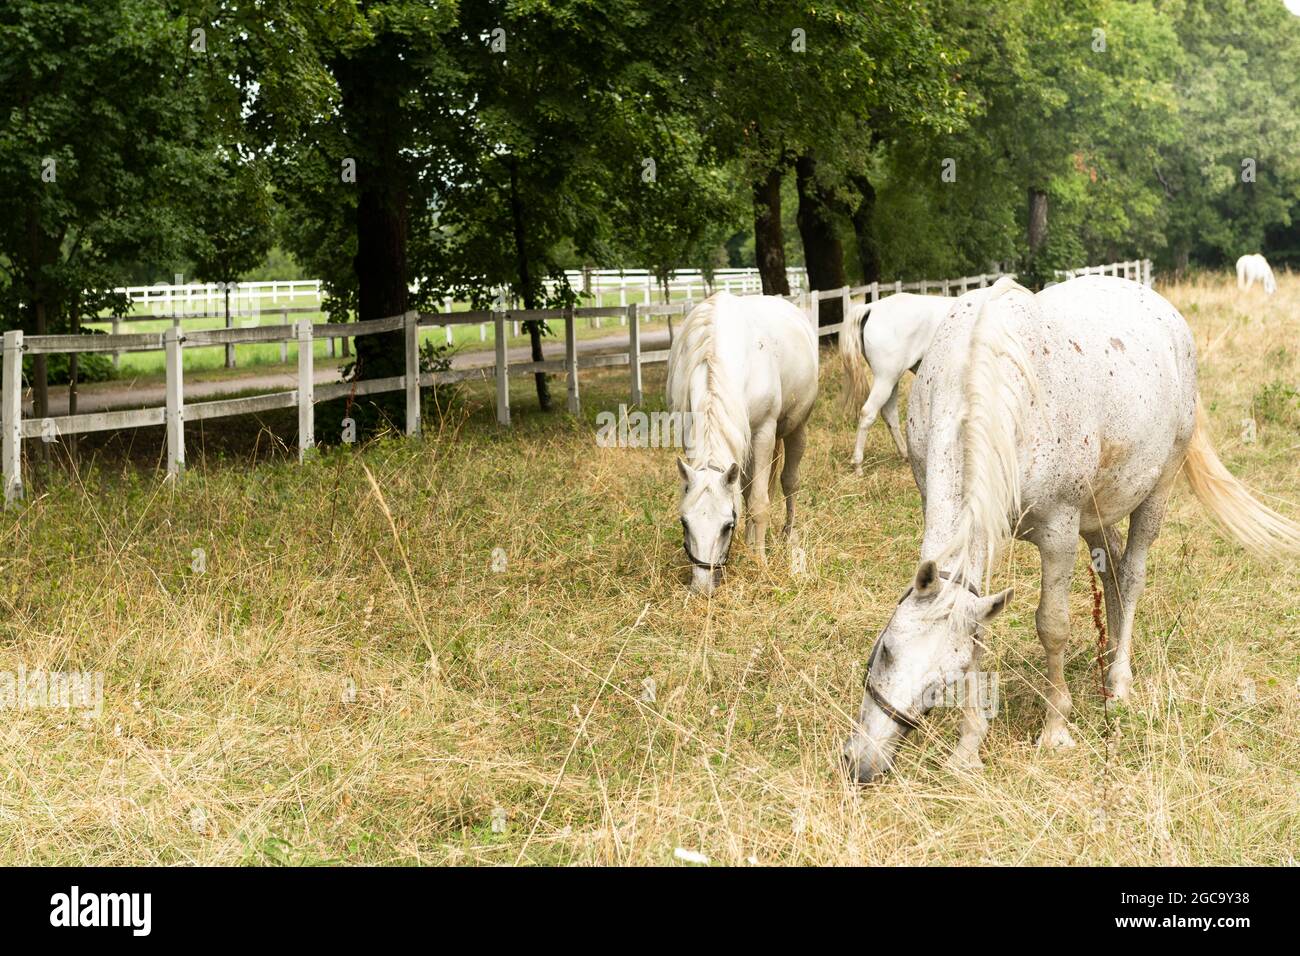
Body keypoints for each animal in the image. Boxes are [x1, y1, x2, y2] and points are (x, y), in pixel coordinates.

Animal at [666, 292, 819, 595]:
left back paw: (787, 534)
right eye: (684, 522)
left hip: (795, 429)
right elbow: (748, 496)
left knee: (788, 482)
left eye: (727, 525)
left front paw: (759, 563)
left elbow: (759, 502)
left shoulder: (763, 433)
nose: (702, 588)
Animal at [839, 293, 961, 473]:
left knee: (890, 415)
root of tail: (871, 308)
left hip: (892, 380)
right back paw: (858, 465)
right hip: (886, 378)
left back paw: (905, 454)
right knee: (868, 413)